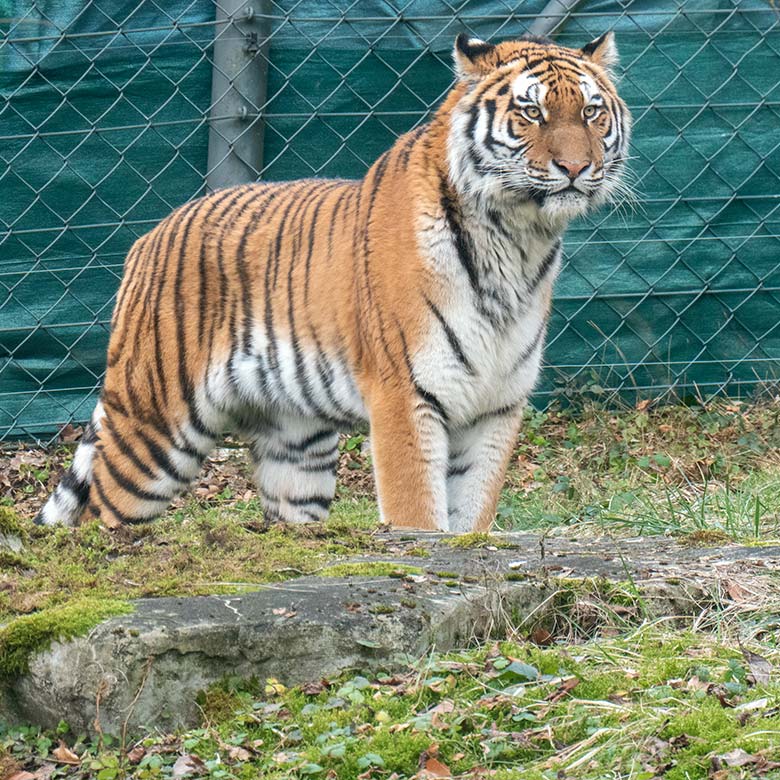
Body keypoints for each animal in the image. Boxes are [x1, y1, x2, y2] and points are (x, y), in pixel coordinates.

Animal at [36, 33, 632, 532]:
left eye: (591, 112)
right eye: (531, 112)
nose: (575, 168)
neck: (517, 240)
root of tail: (148, 237)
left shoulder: (497, 406)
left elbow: (472, 517)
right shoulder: (405, 394)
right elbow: (418, 513)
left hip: (296, 449)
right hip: (154, 429)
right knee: (103, 513)